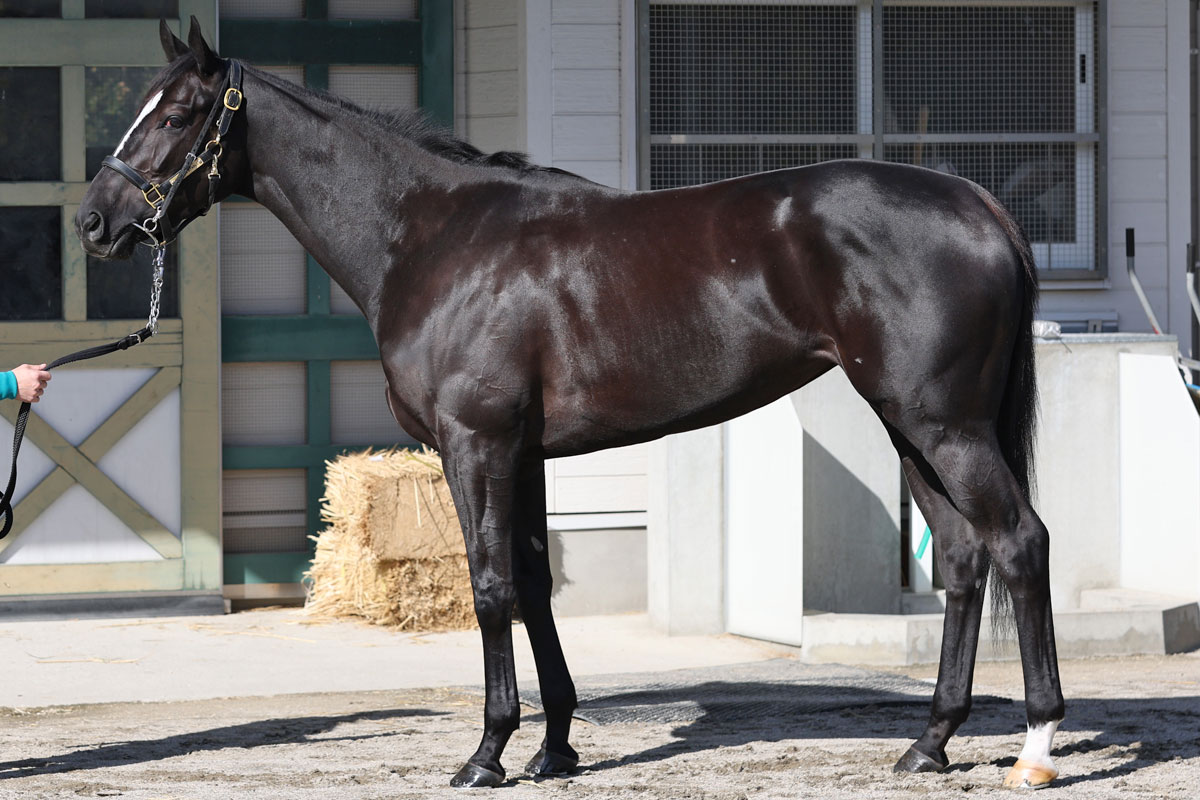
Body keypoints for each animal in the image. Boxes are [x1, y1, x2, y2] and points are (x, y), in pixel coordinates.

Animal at [75, 18, 1064, 790]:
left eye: (176, 114)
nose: (94, 222)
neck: (434, 238)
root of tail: (980, 204)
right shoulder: (526, 453)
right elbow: (536, 583)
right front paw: (554, 748)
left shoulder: (475, 443)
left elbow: (490, 586)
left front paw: (487, 753)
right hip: (912, 428)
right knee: (965, 557)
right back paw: (928, 743)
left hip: (944, 424)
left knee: (1020, 542)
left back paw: (1037, 743)